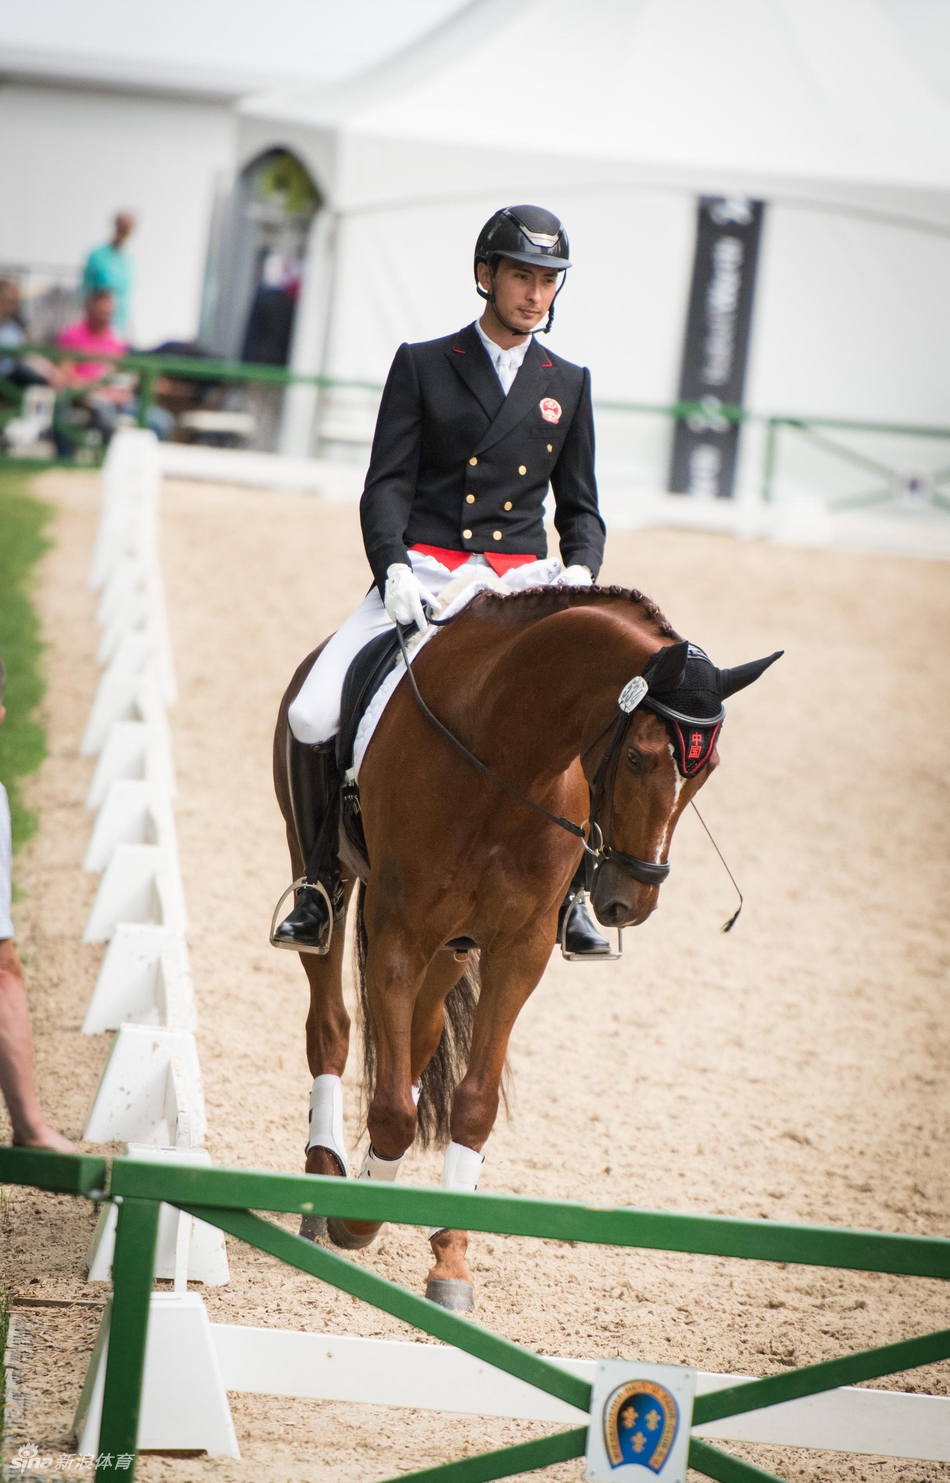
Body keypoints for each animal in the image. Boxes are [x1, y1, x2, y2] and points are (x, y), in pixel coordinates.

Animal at [273, 584, 780, 1308]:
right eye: (637, 756)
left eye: (706, 769)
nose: (633, 900)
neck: (504, 752)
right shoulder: (399, 930)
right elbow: (395, 1107)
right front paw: (358, 1219)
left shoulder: (521, 950)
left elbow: (472, 1104)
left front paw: (450, 1261)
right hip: (332, 879)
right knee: (333, 1024)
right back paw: (323, 1178)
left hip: (454, 946)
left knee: (420, 1036)